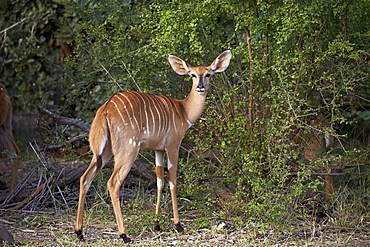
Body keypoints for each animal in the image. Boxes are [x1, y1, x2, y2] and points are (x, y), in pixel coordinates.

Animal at [75, 49, 231, 241]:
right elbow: (172, 181)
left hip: (104, 150)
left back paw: (79, 232)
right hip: (128, 148)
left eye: (208, 74)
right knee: (113, 182)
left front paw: (157, 224)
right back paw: (124, 234)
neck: (184, 111)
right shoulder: (173, 145)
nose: (200, 87)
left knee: (85, 178)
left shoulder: (158, 149)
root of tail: (105, 109)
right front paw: (178, 225)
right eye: (193, 75)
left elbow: (159, 182)